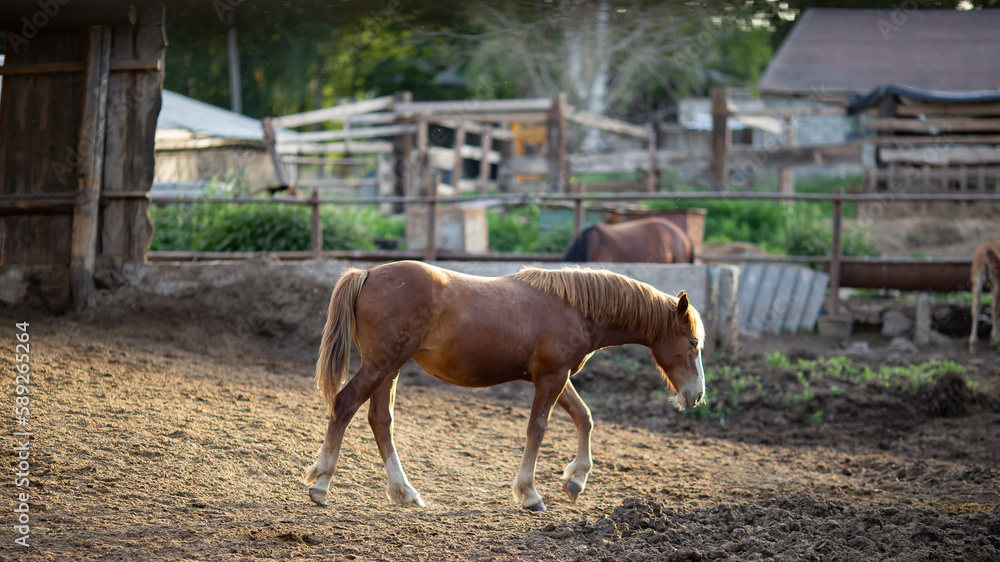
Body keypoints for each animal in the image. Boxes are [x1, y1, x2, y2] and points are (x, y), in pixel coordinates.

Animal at [305, 260, 706, 511]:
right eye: (692, 343)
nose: (696, 395)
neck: (574, 308)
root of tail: (367, 272)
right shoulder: (551, 377)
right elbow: (537, 429)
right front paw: (529, 493)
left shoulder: (557, 376)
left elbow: (585, 417)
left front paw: (575, 480)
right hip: (381, 365)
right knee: (345, 404)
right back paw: (321, 484)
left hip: (389, 369)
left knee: (380, 420)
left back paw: (405, 492)